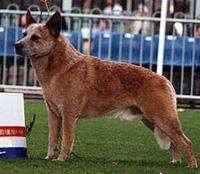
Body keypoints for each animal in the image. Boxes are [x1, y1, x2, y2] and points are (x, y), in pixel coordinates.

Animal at [14, 10, 198, 168]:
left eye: (35, 37)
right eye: (24, 34)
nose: (16, 45)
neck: (59, 66)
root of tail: (165, 79)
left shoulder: (69, 114)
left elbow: (66, 139)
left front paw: (61, 159)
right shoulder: (53, 114)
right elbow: (52, 139)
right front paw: (48, 157)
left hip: (162, 118)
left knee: (185, 141)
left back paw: (191, 165)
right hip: (152, 120)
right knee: (174, 142)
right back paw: (176, 161)